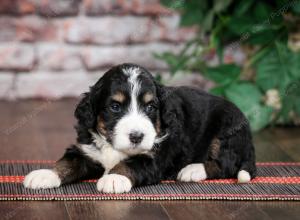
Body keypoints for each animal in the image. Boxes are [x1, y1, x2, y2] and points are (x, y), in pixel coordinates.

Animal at [24, 63, 256, 192]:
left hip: (227, 131)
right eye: (115, 107)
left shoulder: (154, 159)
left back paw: (193, 170)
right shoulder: (87, 150)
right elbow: (67, 162)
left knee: (227, 164)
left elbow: (130, 164)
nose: (137, 136)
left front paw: (114, 178)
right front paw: (45, 175)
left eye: (150, 107)